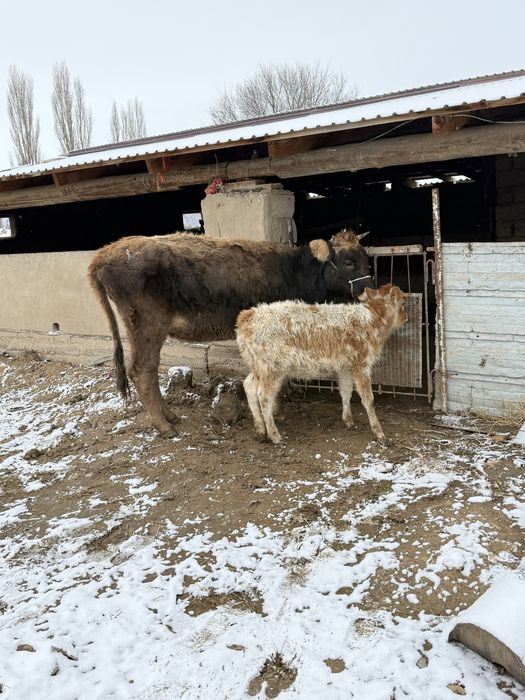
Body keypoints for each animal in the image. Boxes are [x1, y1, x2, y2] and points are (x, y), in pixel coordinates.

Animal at [88, 229, 372, 435]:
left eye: (367, 260)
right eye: (348, 261)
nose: (369, 289)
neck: (293, 271)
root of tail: (106, 252)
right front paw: (277, 411)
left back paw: (170, 416)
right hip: (148, 325)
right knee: (142, 370)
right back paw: (164, 425)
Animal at [236, 284, 407, 444]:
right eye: (403, 302)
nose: (405, 318)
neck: (372, 319)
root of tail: (248, 315)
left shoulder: (345, 366)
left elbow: (346, 390)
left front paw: (348, 420)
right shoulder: (361, 364)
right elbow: (368, 398)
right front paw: (379, 432)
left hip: (258, 366)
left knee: (249, 386)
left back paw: (260, 429)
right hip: (272, 368)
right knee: (264, 397)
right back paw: (274, 435)